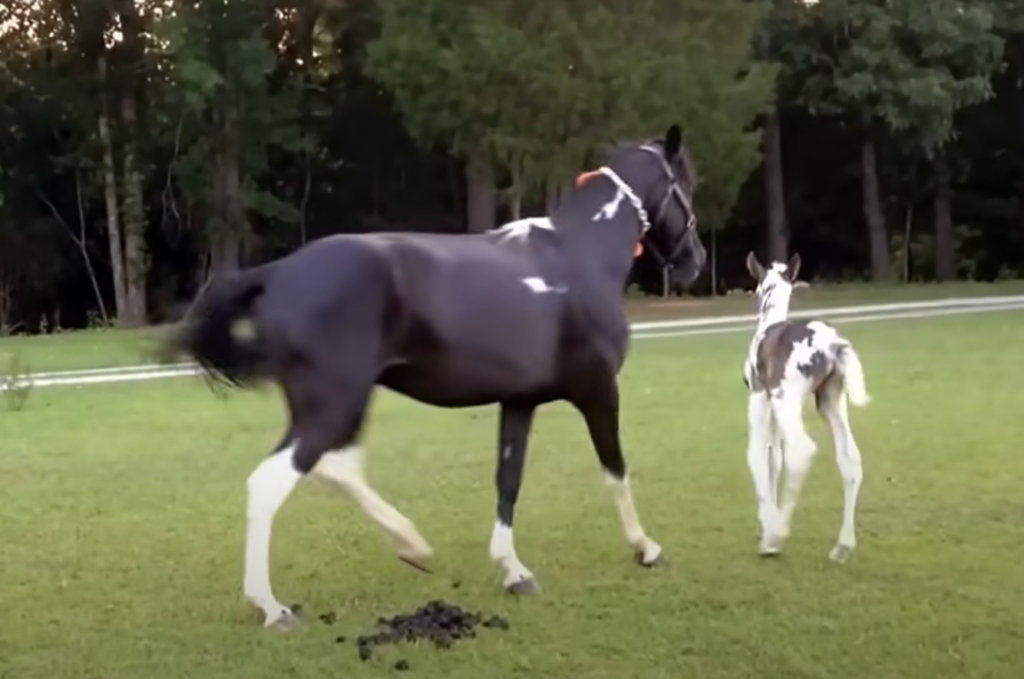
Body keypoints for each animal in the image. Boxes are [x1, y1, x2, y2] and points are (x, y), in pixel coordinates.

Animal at [164, 124, 706, 630]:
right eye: (687, 183)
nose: (695, 260)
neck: (579, 256)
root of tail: (278, 273)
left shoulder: (520, 401)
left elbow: (509, 479)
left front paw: (514, 571)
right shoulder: (597, 390)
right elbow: (615, 469)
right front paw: (647, 548)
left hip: (342, 402)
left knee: (337, 467)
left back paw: (412, 545)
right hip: (335, 402)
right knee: (273, 480)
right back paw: (273, 607)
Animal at [742, 252, 869, 561]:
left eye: (757, 286)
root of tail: (833, 345)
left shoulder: (759, 397)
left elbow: (757, 456)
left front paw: (767, 531)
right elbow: (773, 458)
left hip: (788, 400)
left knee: (801, 451)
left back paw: (777, 535)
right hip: (831, 400)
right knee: (850, 459)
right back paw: (843, 545)